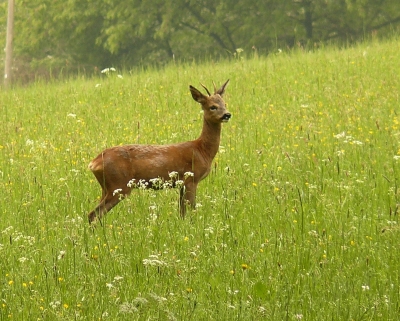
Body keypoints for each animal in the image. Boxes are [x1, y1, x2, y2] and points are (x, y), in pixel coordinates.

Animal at [88, 79, 231, 222]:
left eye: (224, 104)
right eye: (212, 106)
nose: (227, 114)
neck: (202, 150)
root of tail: (94, 163)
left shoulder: (181, 184)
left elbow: (181, 212)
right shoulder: (191, 179)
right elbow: (191, 209)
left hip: (106, 187)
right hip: (118, 185)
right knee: (94, 214)